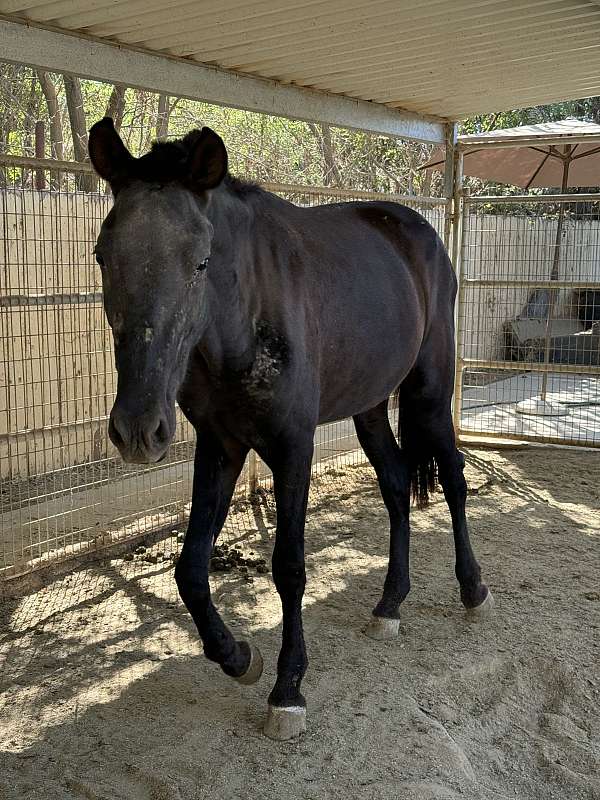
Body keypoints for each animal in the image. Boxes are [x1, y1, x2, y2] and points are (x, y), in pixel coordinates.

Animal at [88, 120, 492, 744]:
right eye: (103, 255)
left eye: (200, 261)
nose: (138, 429)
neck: (245, 320)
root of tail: (420, 233)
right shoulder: (222, 446)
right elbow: (190, 568)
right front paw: (239, 657)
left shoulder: (292, 448)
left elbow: (290, 567)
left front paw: (288, 688)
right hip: (370, 407)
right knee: (397, 484)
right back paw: (389, 604)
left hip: (429, 392)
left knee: (451, 478)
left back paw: (472, 589)